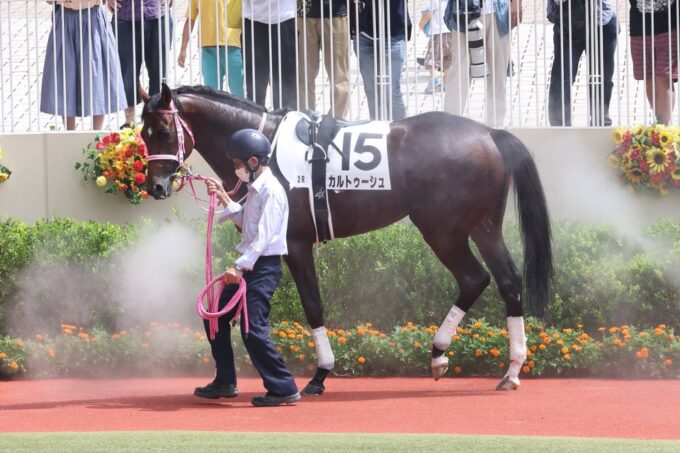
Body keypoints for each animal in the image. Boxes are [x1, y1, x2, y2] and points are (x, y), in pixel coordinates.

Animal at [139, 84, 552, 392]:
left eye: (163, 132)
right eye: (142, 134)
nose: (155, 187)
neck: (268, 144)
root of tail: (490, 133)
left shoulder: (297, 244)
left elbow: (313, 305)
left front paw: (321, 374)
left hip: (443, 230)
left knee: (474, 278)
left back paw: (439, 353)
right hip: (483, 226)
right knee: (507, 280)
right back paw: (511, 369)